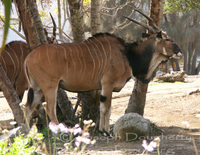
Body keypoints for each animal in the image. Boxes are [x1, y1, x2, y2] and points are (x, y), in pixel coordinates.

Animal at [21, 10, 181, 133]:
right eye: (167, 39)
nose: (179, 52)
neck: (126, 54)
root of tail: (28, 57)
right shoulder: (107, 84)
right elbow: (106, 109)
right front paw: (105, 131)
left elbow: (105, 108)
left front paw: (103, 130)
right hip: (50, 87)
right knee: (49, 109)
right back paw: (58, 133)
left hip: (37, 88)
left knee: (28, 108)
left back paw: (28, 134)